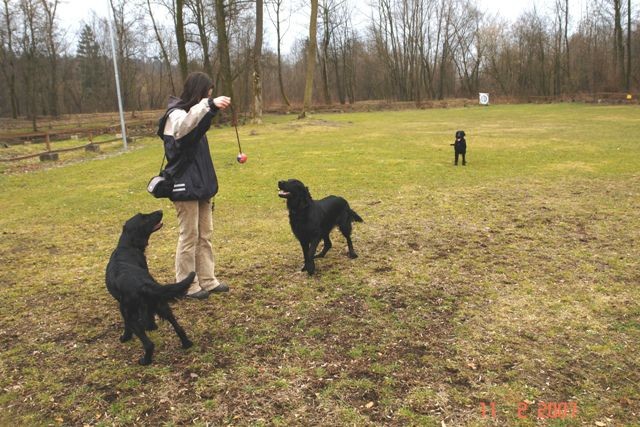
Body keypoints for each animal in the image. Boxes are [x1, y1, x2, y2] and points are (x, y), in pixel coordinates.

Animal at [106, 211, 196, 364]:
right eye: (144, 218)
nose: (160, 211)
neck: (127, 246)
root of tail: (143, 284)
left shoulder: (124, 309)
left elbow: (126, 325)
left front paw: (125, 337)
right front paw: (153, 326)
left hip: (132, 314)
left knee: (148, 344)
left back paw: (145, 361)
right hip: (163, 306)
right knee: (179, 328)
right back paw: (186, 344)